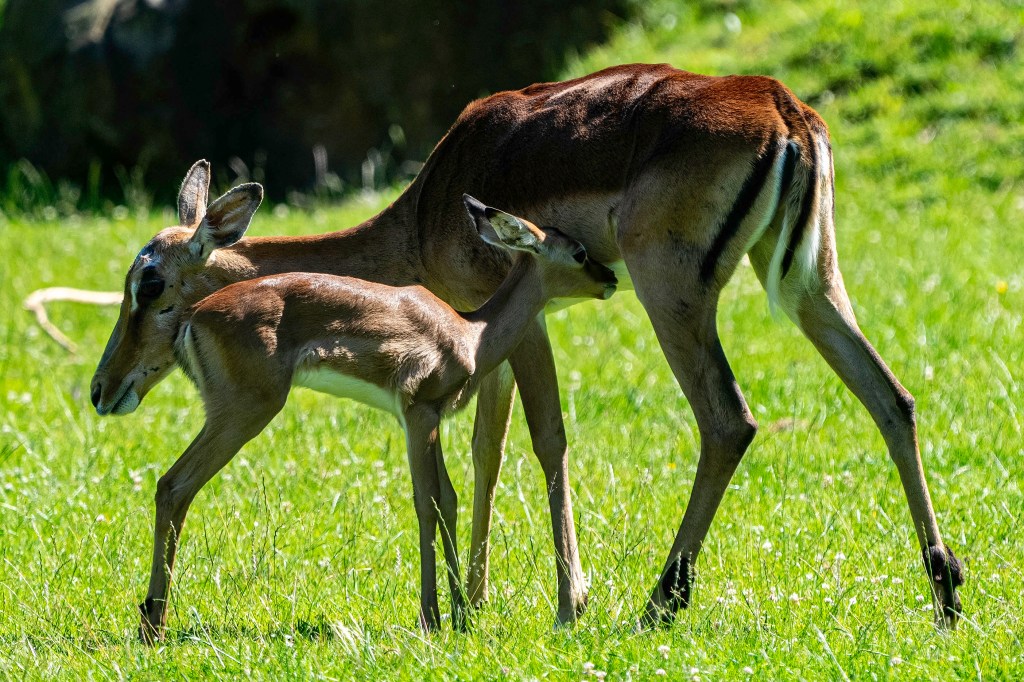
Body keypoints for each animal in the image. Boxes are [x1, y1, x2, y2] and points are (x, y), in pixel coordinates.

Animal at [121, 193, 614, 638]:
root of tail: (193, 319)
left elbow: (448, 499)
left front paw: (461, 615)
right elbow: (428, 502)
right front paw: (432, 617)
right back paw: (153, 624)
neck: (471, 334)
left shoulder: (425, 419)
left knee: (172, 487)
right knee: (173, 485)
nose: (609, 278)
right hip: (243, 411)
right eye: (579, 252)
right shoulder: (419, 413)